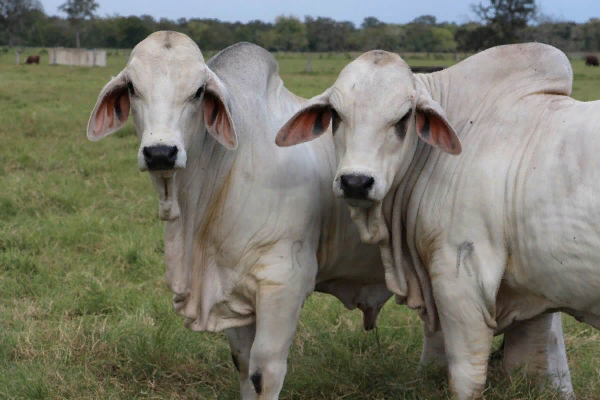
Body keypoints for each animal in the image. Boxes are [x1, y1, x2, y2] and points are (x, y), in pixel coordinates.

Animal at [86, 31, 408, 400]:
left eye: (198, 91)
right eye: (132, 88)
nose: (160, 153)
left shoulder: (284, 283)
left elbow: (263, 372)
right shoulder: (231, 293)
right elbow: (242, 363)